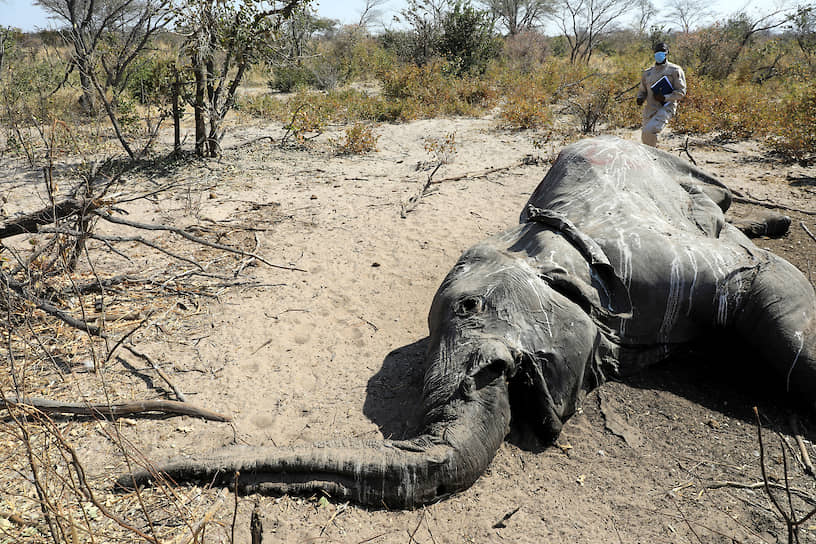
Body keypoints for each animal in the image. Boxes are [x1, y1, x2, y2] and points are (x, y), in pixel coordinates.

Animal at [116, 137, 816, 510]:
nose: (121, 478)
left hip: (677, 165)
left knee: (720, 197)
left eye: (469, 309)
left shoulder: (655, 262)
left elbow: (769, 290)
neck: (542, 240)